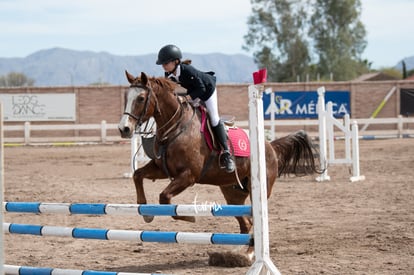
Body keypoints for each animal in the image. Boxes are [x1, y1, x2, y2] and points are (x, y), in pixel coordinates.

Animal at [118, 71, 322, 268]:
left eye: (141, 98)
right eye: (126, 96)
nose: (124, 129)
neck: (175, 127)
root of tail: (270, 146)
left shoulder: (188, 176)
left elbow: (164, 197)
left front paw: (188, 217)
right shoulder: (161, 169)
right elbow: (137, 175)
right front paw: (146, 211)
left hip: (258, 189)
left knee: (254, 221)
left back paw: (248, 255)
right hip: (232, 193)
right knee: (246, 223)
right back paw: (239, 253)